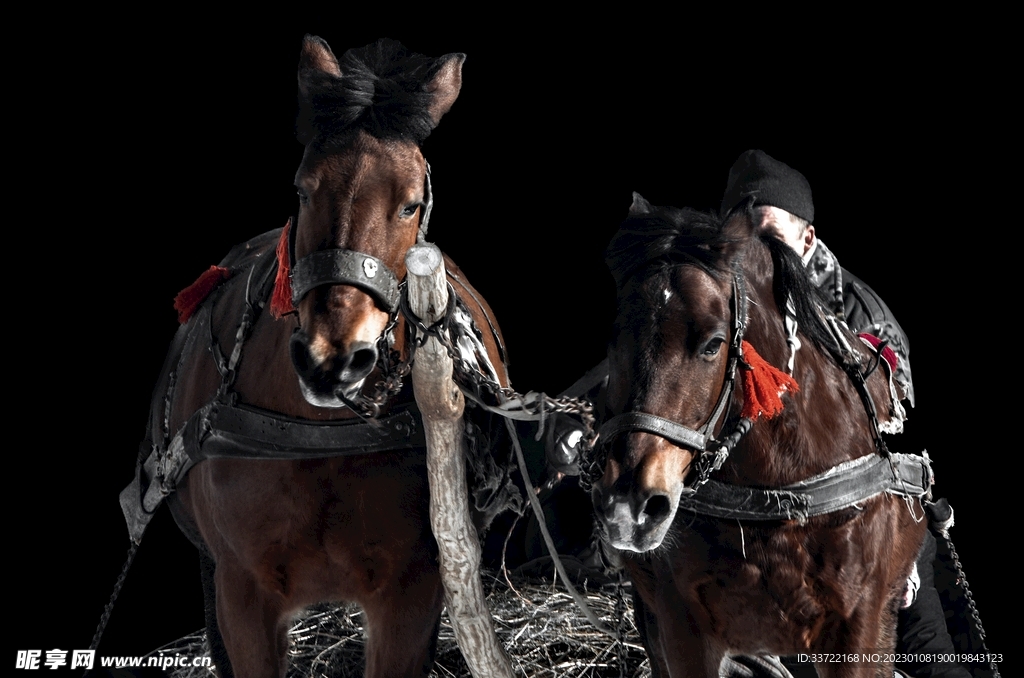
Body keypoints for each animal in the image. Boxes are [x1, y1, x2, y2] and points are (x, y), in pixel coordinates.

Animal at [128, 36, 517, 678]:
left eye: (410, 205)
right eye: (303, 188)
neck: (324, 437)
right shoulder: (242, 594)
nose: (330, 360)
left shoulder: (413, 594)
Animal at [590, 195, 930, 677]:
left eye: (713, 343)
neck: (787, 495)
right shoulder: (680, 626)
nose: (629, 503)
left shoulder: (860, 627)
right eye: (613, 339)